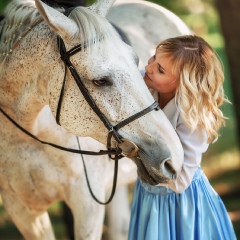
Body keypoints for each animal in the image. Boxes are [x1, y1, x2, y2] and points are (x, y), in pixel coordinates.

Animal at [0, 0, 184, 239]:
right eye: (101, 81)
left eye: (136, 61)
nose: (175, 157)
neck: (27, 135)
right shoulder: (22, 210)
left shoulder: (87, 204)